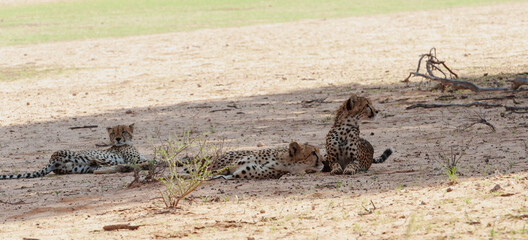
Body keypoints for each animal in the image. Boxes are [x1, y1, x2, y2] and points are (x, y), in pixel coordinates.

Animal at [0, 124, 146, 178]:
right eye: (113, 132)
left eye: (123, 131)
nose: (118, 139)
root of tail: (52, 158)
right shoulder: (133, 158)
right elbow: (144, 159)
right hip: (88, 156)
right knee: (106, 164)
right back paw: (126, 166)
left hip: (79, 167)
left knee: (97, 169)